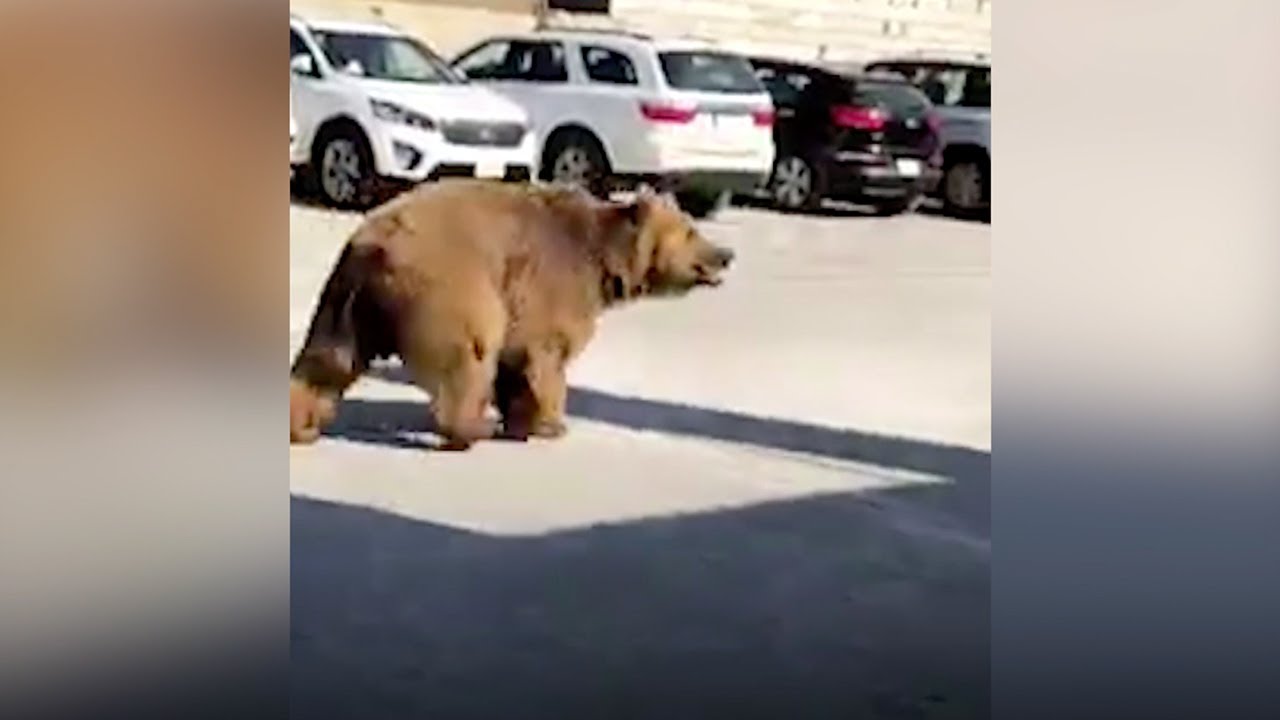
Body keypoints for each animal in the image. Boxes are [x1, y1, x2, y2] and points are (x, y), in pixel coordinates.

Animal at [289, 179, 735, 450]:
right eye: (691, 232)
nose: (726, 254)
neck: (606, 262)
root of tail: (374, 245)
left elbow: (515, 364)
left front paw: (523, 421)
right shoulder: (552, 285)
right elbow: (545, 357)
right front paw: (553, 423)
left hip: (345, 302)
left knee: (327, 361)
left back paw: (302, 426)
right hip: (451, 284)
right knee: (469, 351)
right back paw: (470, 428)